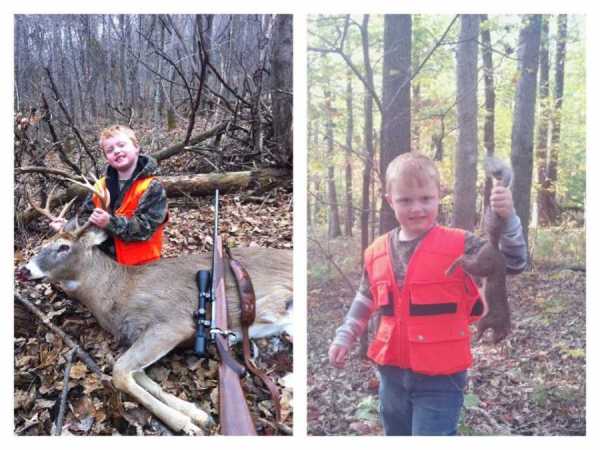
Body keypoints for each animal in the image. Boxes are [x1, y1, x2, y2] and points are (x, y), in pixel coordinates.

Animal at [16, 181, 292, 434]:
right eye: (46, 241)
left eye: (64, 246)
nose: (23, 270)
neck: (117, 292)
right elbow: (140, 376)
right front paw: (197, 414)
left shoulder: (173, 324)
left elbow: (119, 371)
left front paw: (185, 422)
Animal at [446, 156, 510, 342]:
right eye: (502, 335)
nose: (496, 341)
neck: (502, 321)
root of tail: (494, 246)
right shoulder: (490, 319)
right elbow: (482, 325)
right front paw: (478, 337)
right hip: (484, 263)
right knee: (465, 261)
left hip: (480, 259)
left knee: (467, 260)